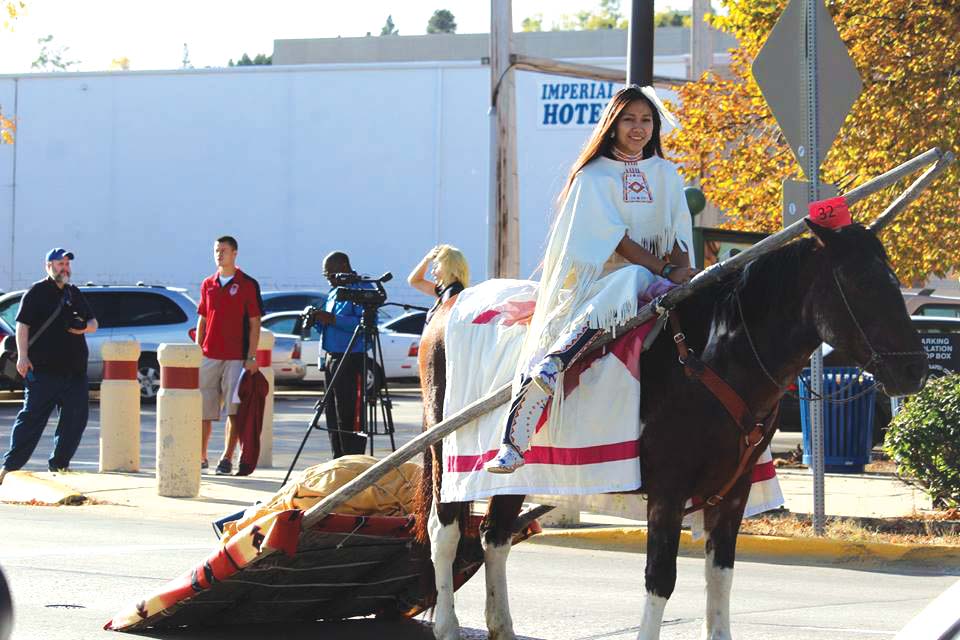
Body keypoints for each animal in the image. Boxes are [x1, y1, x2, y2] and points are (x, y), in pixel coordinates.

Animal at [416, 222, 928, 636]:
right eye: (860, 282)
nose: (916, 370)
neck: (713, 361)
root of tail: (453, 299)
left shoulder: (733, 493)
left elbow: (720, 580)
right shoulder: (667, 491)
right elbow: (660, 580)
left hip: (520, 475)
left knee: (495, 536)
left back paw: (501, 624)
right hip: (448, 455)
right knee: (446, 532)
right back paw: (447, 624)